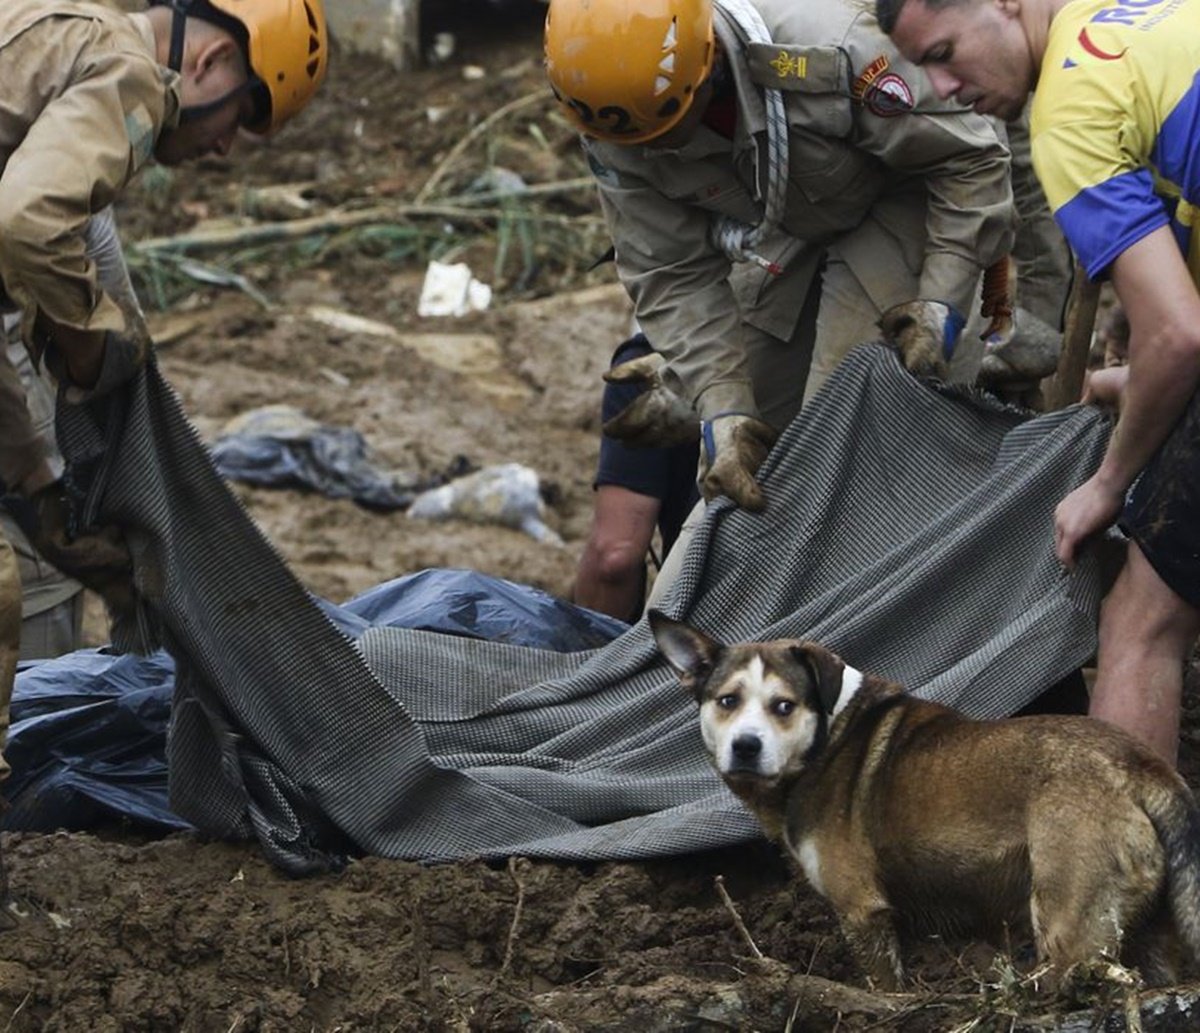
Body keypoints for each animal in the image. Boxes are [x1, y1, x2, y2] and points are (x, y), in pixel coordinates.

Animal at [652, 609, 1200, 988]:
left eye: (783, 706)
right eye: (727, 701)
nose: (746, 746)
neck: (827, 736)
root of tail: (1141, 767)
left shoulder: (863, 911)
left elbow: (885, 987)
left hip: (1070, 925)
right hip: (1149, 926)